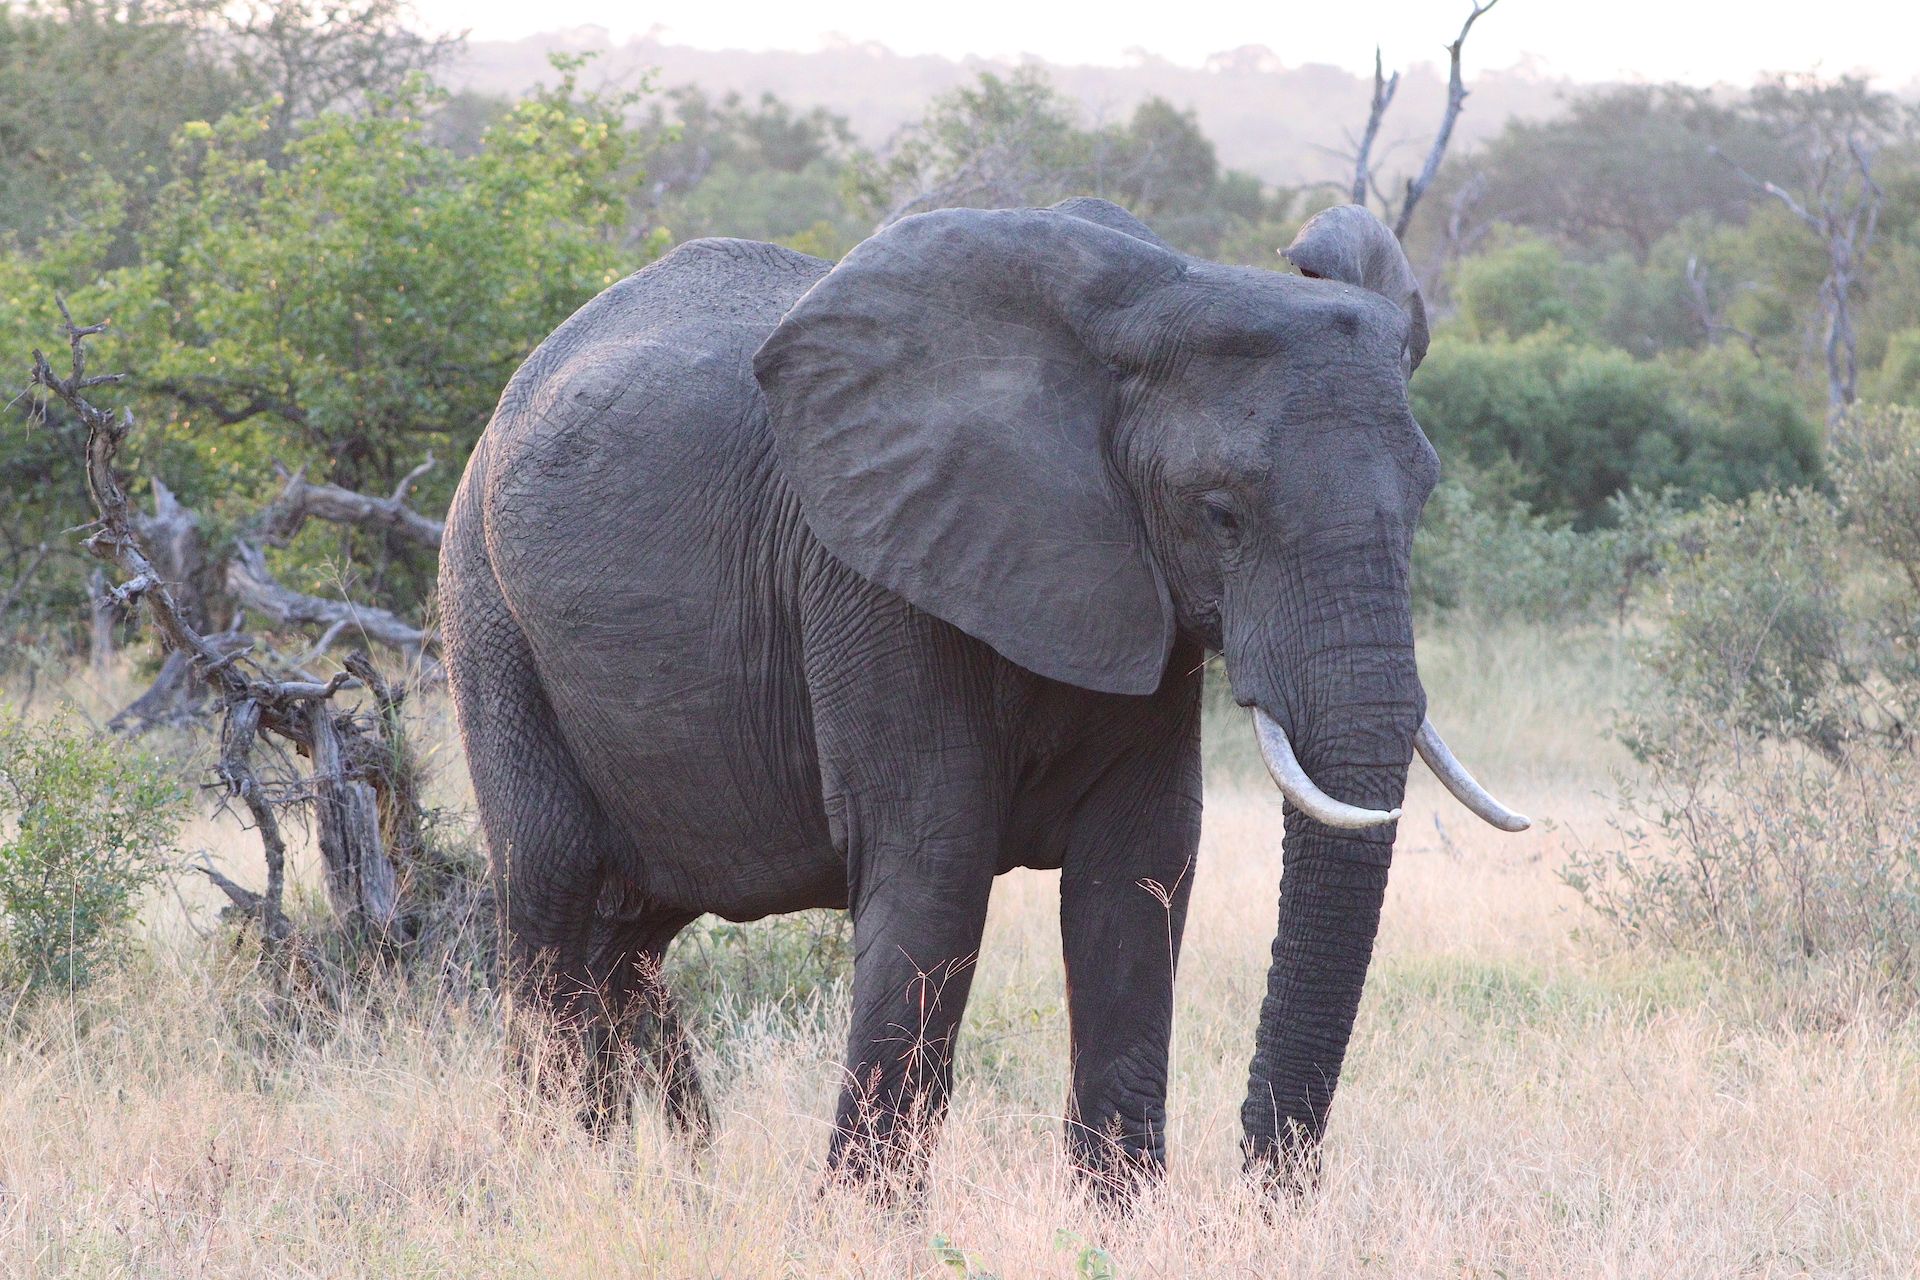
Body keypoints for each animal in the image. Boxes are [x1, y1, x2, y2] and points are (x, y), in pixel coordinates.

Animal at [439, 195, 1528, 1196]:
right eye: (1221, 512)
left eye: (1425, 496)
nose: (1266, 1192)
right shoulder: (877, 575)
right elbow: (936, 864)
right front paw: (865, 1226)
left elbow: (1138, 870)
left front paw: (1116, 1223)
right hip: (487, 610)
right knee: (552, 894)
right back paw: (537, 1179)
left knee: (624, 937)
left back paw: (612, 1173)